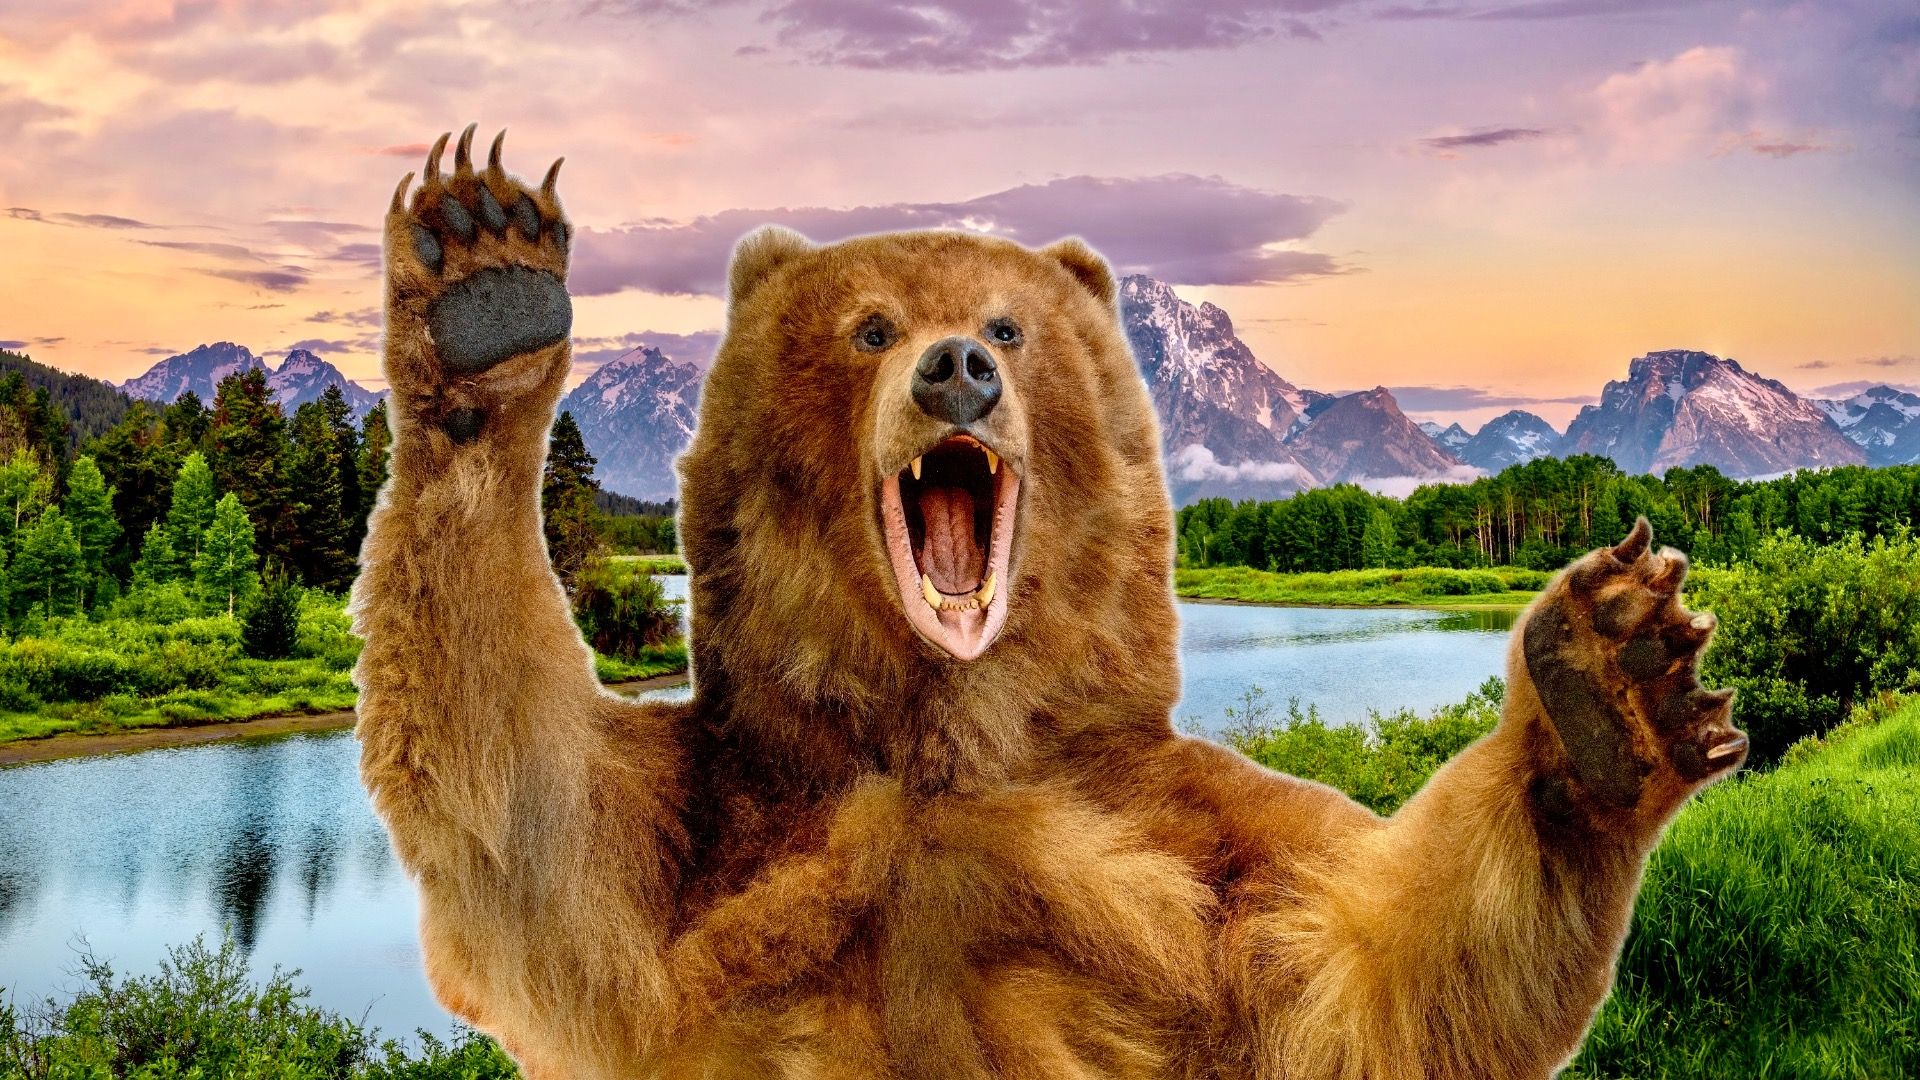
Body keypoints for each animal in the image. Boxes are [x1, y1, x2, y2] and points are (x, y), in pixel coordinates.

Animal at [353, 127, 1751, 1076]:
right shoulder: (723, 831)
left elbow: (1368, 991)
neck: (944, 729)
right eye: (870, 327)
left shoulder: (1196, 848)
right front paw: (485, 286)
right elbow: (538, 834)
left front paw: (1612, 684)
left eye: (1011, 327)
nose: (956, 369)